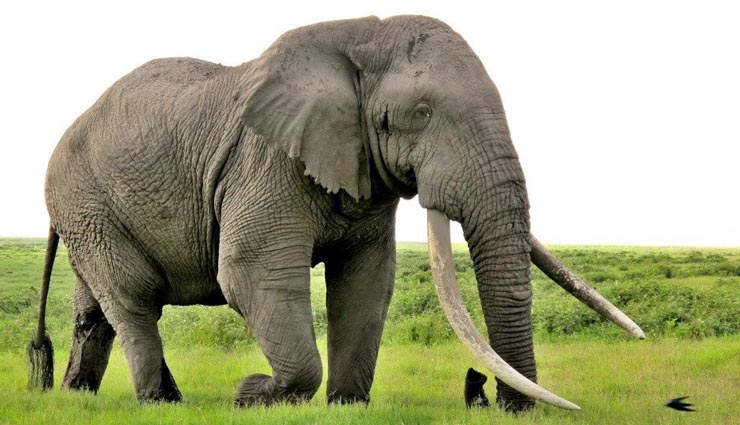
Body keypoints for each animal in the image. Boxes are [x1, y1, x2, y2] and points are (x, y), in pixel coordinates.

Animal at [28, 15, 644, 411]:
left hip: (89, 213)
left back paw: (79, 395)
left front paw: (347, 405)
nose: (488, 396)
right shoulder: (267, 161)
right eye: (420, 113)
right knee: (133, 299)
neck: (358, 36)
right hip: (87, 203)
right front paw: (253, 394)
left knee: (95, 311)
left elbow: (367, 282)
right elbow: (251, 274)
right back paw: (160, 403)